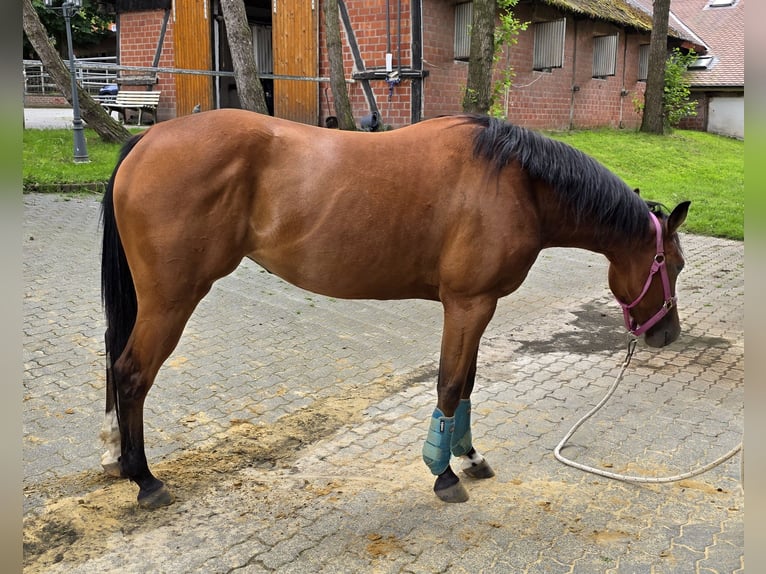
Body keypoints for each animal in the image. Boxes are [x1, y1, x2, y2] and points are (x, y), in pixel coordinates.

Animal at [100, 110, 690, 508]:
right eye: (676, 265)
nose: (667, 334)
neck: (515, 181)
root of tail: (148, 138)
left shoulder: (477, 306)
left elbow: (467, 383)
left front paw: (468, 458)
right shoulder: (468, 305)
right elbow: (450, 383)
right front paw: (442, 472)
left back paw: (117, 458)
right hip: (171, 301)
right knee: (131, 374)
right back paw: (145, 480)